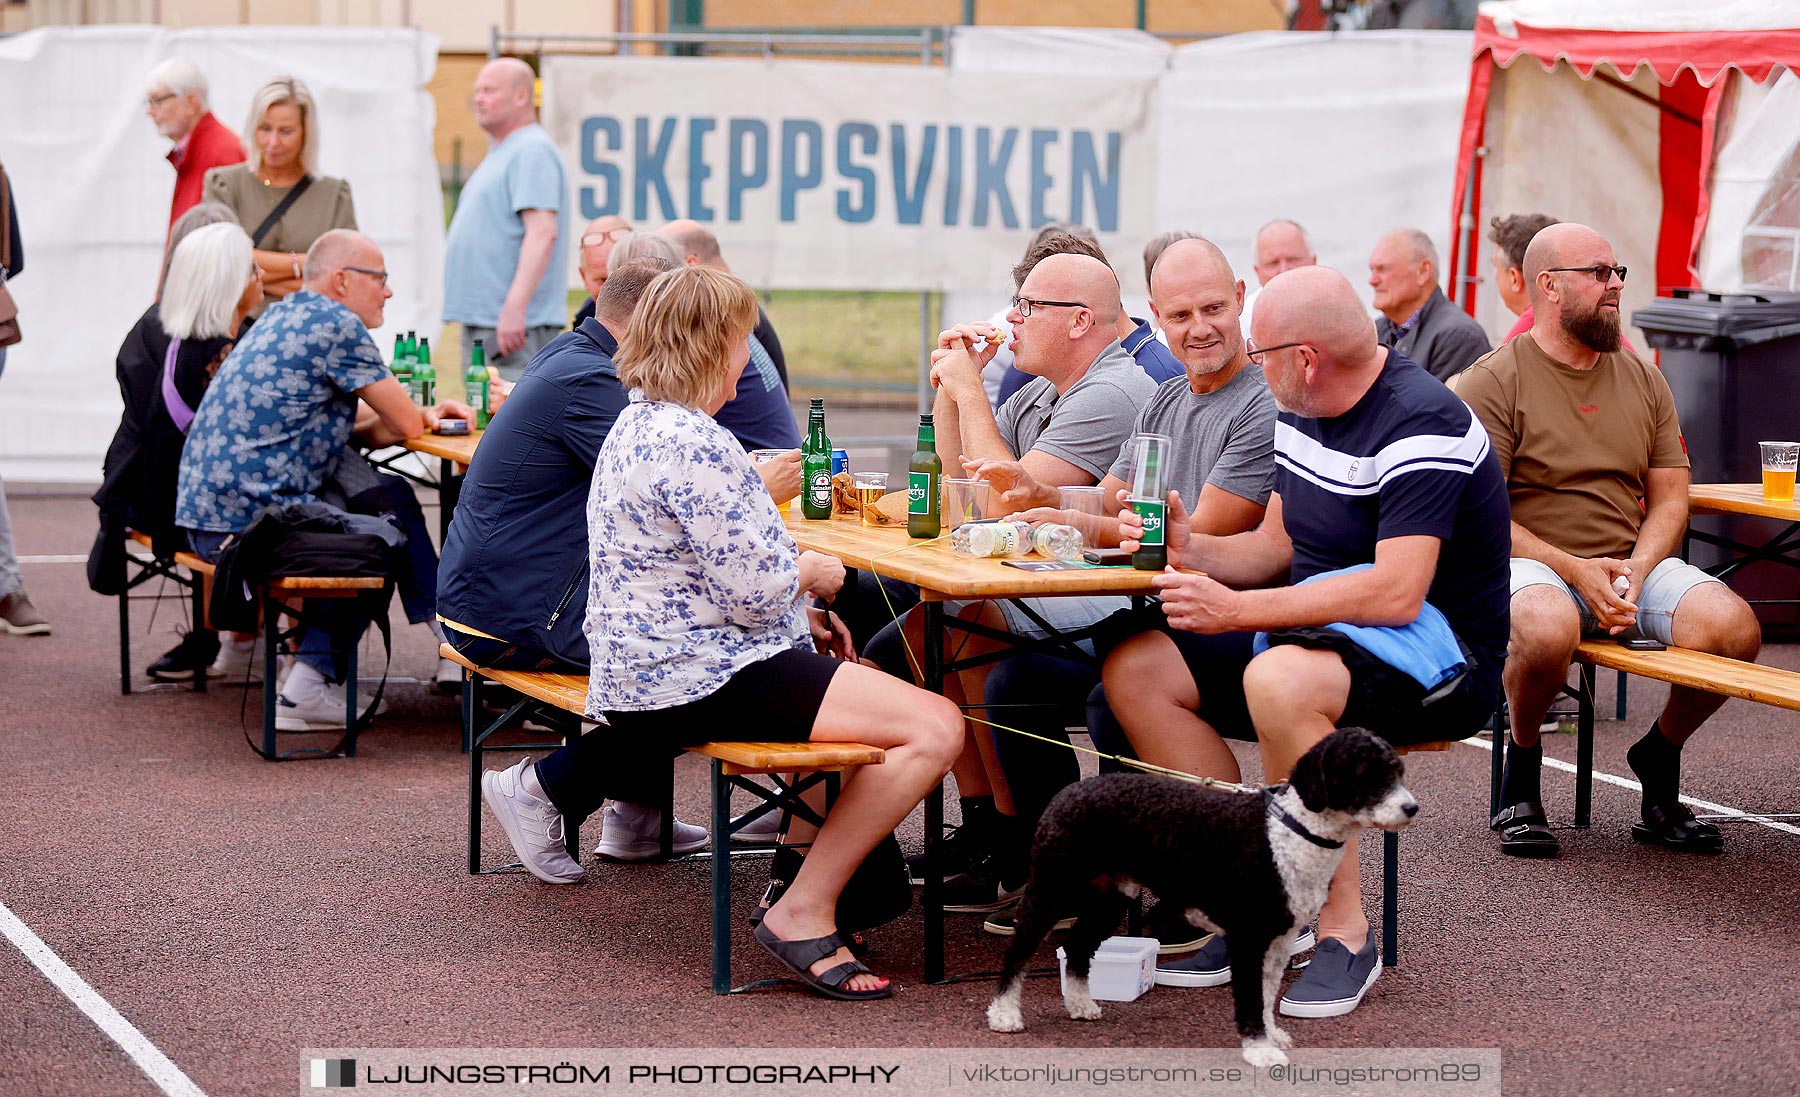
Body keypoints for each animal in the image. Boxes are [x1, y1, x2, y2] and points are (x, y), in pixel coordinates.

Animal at [993, 727, 1411, 1059]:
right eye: (1365, 774)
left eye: (1397, 771)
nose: (1411, 807)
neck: (1289, 831)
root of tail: (1070, 791)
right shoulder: (1248, 938)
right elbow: (1251, 999)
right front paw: (1260, 1051)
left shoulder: (1278, 941)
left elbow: (1266, 996)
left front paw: (1271, 1036)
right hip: (1053, 886)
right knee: (1018, 949)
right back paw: (1004, 1013)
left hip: (1110, 897)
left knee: (1079, 947)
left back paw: (1080, 1004)